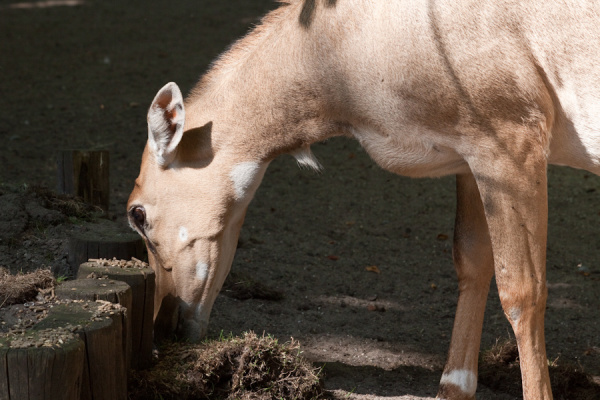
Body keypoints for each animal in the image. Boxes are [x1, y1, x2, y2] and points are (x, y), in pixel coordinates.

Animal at [127, 0, 600, 400]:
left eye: (137, 213)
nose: (164, 325)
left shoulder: (511, 142)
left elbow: (522, 290)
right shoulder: (471, 157)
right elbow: (472, 260)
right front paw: (454, 385)